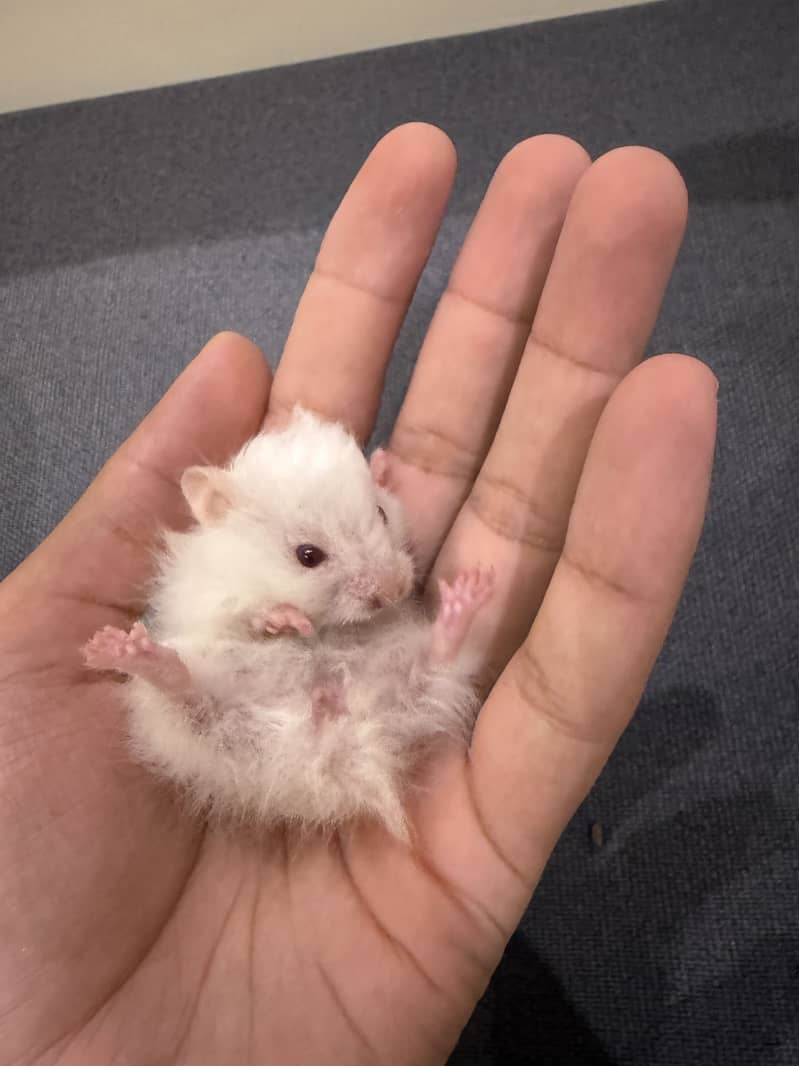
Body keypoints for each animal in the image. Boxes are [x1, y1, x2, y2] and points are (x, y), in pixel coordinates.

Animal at [83, 407, 494, 840]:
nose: (395, 590)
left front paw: (382, 463)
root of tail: (330, 743)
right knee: (183, 692)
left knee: (438, 658)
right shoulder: (208, 597)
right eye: (308, 555)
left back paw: (468, 596)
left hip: (412, 680)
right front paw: (287, 621)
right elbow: (249, 614)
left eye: (382, 514)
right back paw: (120, 649)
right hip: (190, 717)